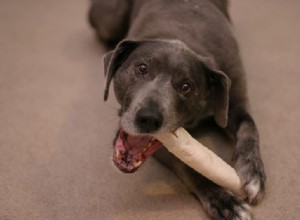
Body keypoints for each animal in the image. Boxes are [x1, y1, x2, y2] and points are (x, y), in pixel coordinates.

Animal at [88, 0, 264, 219]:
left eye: (186, 87)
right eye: (142, 68)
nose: (148, 118)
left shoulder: (236, 104)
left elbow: (249, 126)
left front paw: (253, 171)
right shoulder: (168, 144)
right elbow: (190, 166)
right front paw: (223, 200)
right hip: (110, 17)